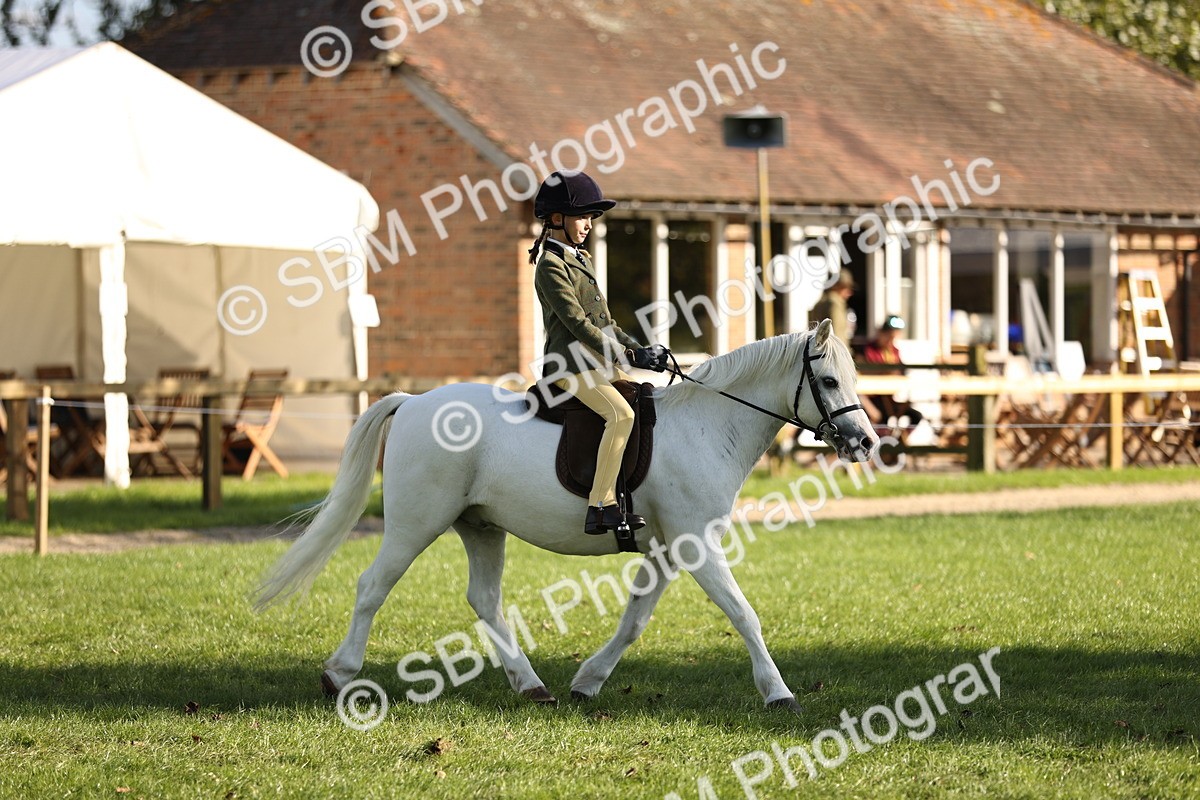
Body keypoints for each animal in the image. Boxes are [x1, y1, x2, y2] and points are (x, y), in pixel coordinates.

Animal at [256, 319, 875, 712]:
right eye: (828, 380)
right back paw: (339, 673)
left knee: (484, 601)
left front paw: (587, 682)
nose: (866, 443)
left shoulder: (667, 550)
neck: (707, 425)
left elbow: (634, 622)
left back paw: (533, 686)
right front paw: (779, 693)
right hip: (416, 525)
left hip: (481, 527)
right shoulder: (698, 545)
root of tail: (411, 402)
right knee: (372, 587)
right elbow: (744, 615)